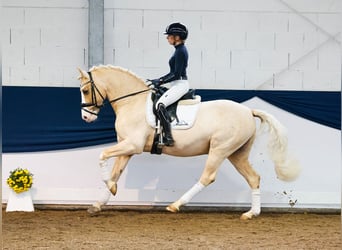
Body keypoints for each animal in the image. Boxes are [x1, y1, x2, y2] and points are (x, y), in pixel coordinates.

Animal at [77, 65, 300, 220]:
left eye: (86, 91)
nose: (86, 118)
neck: (132, 102)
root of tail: (248, 111)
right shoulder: (127, 149)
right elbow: (115, 173)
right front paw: (99, 202)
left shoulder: (133, 145)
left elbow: (102, 156)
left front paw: (110, 188)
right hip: (237, 153)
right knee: (254, 178)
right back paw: (251, 214)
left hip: (220, 149)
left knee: (208, 177)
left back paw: (175, 205)